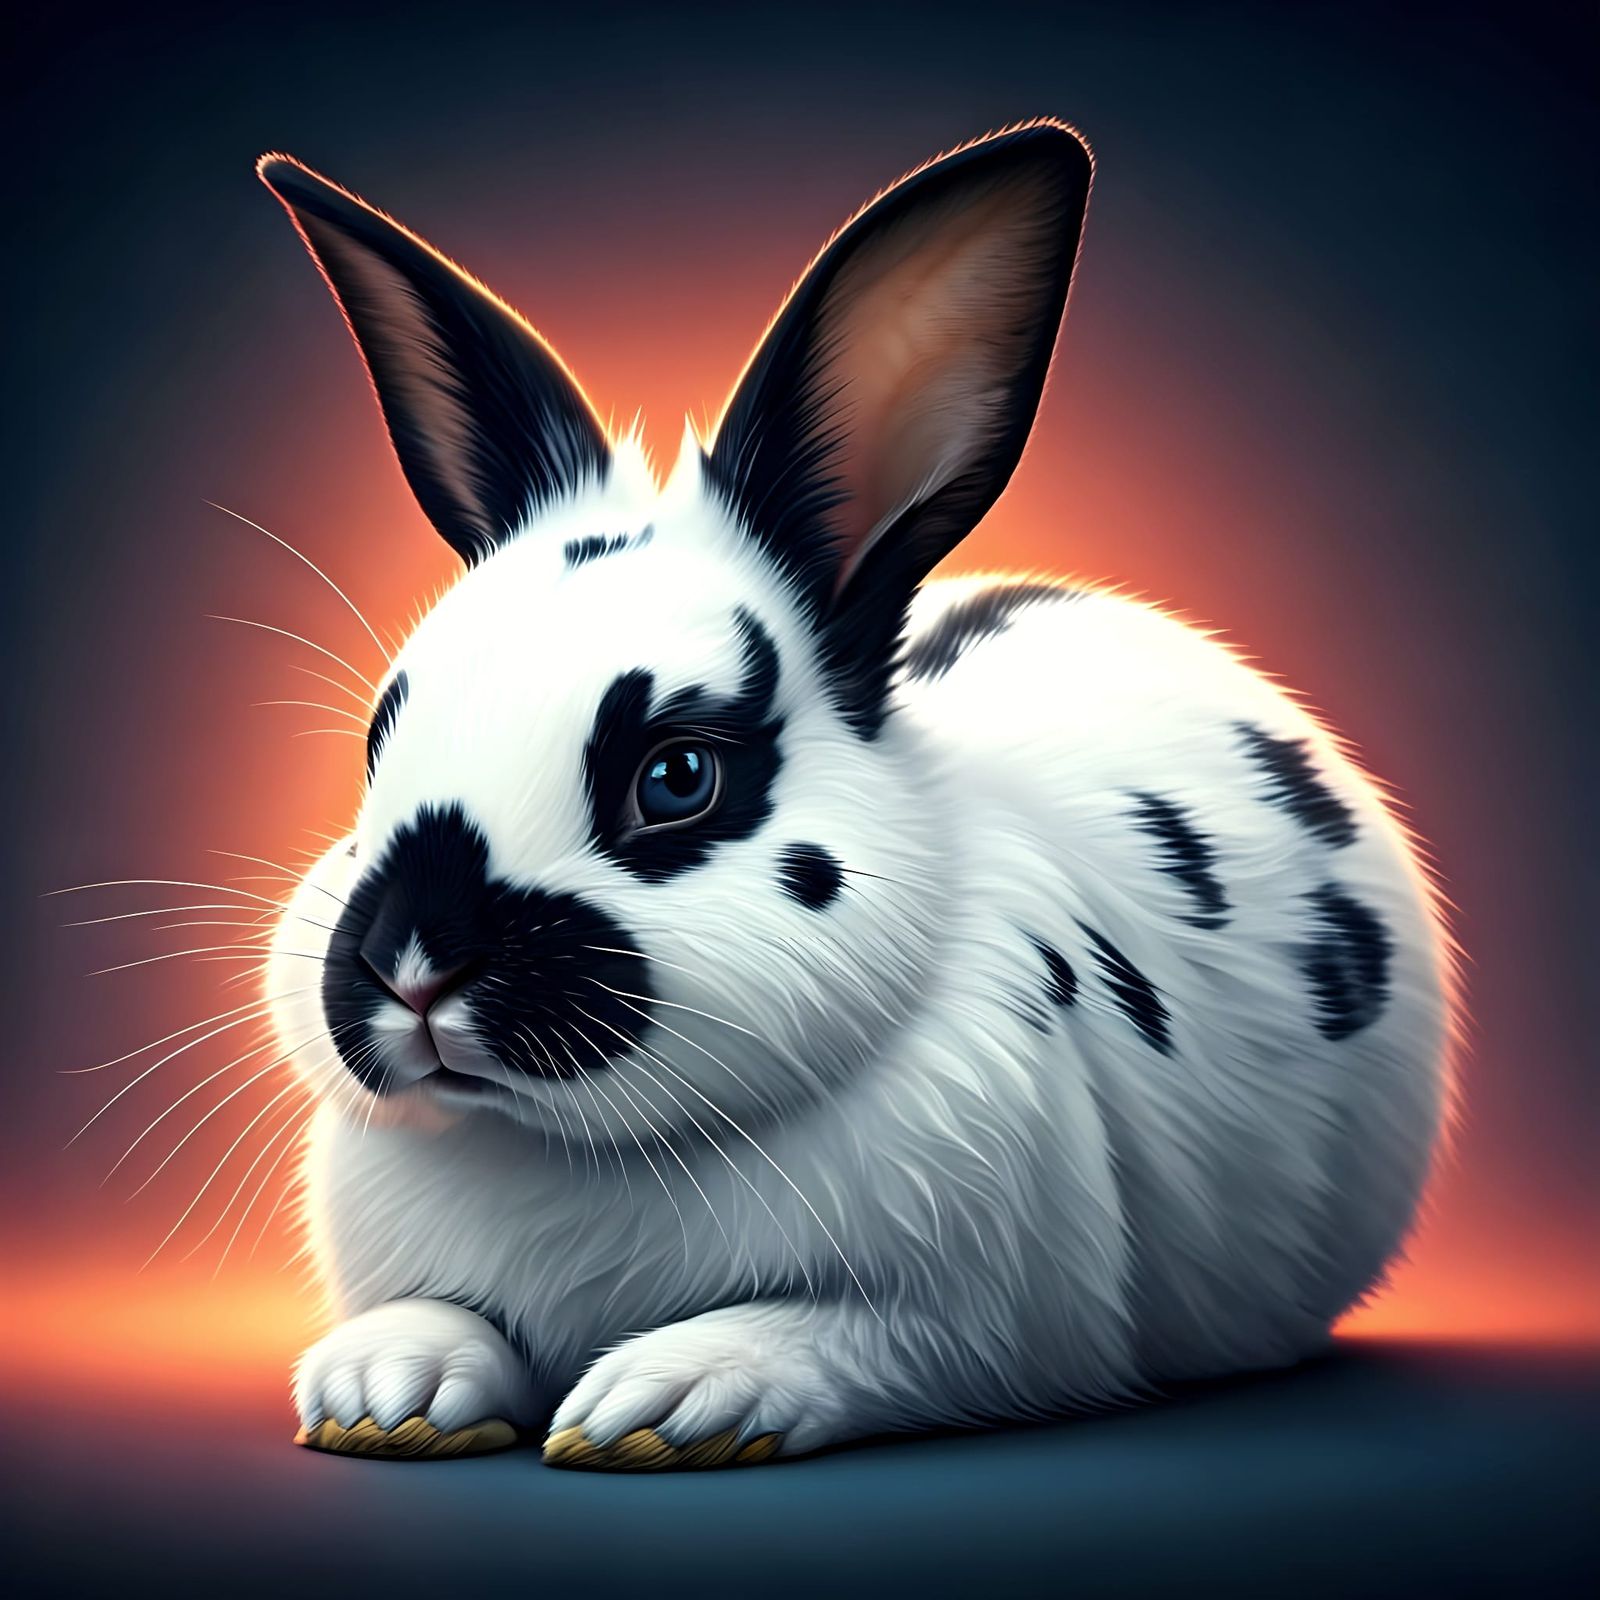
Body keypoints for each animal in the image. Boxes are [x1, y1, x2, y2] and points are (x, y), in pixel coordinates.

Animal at [257, 120, 1456, 1470]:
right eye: (381, 738)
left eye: (676, 775)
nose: (412, 960)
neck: (584, 1153)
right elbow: (435, 1317)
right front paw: (380, 1393)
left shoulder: (985, 1323)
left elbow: (840, 1338)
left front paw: (663, 1403)